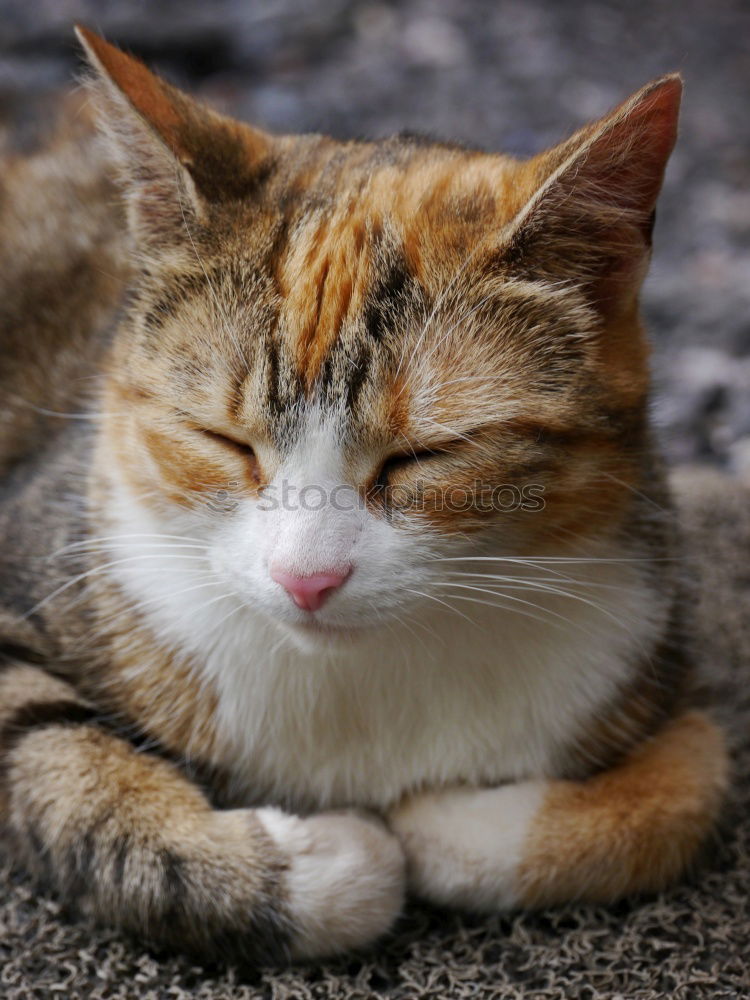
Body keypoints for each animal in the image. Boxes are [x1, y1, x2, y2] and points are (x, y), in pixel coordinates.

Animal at [0, 27, 732, 968]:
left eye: (427, 454)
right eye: (224, 441)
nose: (304, 581)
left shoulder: (655, 634)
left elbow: (694, 788)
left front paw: (446, 824)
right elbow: (69, 770)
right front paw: (324, 864)